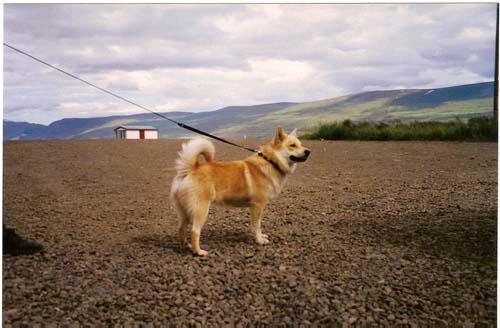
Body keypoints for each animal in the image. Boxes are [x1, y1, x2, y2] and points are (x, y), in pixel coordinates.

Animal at [173, 127, 312, 255]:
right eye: (292, 145)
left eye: (300, 144)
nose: (308, 151)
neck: (271, 161)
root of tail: (191, 169)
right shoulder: (257, 206)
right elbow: (256, 226)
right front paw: (260, 240)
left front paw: (261, 237)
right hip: (200, 210)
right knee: (194, 231)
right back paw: (199, 251)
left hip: (185, 211)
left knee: (181, 228)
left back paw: (186, 246)